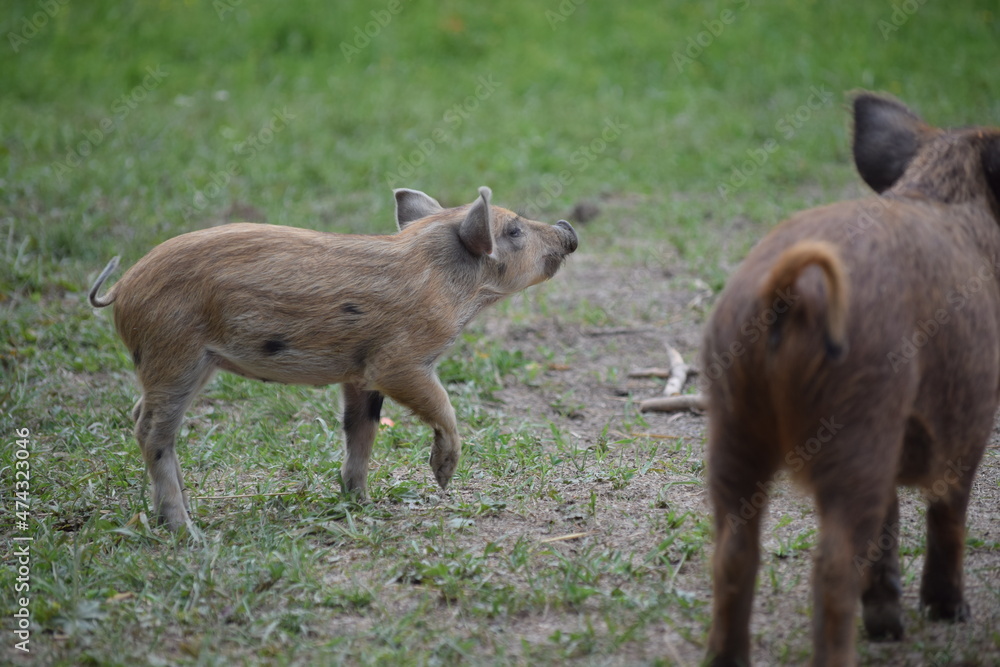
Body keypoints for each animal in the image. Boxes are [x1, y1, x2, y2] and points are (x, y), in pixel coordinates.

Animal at [94, 187, 584, 532]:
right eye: (514, 230)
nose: (567, 226)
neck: (450, 287)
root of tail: (121, 287)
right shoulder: (399, 362)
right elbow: (443, 406)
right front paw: (444, 480)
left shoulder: (359, 374)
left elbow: (361, 433)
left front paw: (361, 502)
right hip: (175, 354)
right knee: (150, 430)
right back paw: (186, 529)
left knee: (140, 415)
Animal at [704, 95, 1000, 667]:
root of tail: (788, 288)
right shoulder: (972, 417)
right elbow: (948, 512)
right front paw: (949, 613)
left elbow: (891, 524)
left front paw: (891, 623)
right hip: (859, 423)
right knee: (833, 568)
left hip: (732, 426)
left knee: (733, 552)